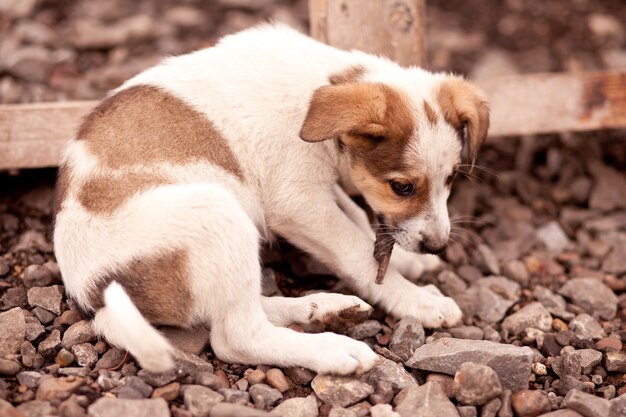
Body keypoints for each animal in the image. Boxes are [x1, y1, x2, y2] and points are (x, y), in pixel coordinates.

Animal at [52, 23, 488, 374]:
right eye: (402, 187)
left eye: (451, 177)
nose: (437, 246)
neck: (323, 84)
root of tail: (91, 295)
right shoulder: (298, 202)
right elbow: (356, 249)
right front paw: (417, 300)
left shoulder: (321, 188)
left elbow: (359, 220)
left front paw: (411, 264)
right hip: (217, 212)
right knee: (236, 336)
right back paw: (332, 349)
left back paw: (321, 308)